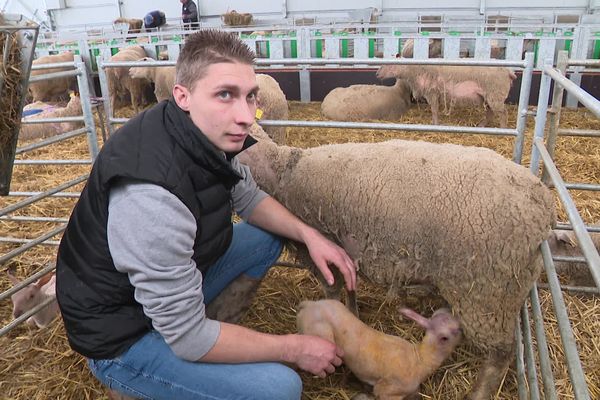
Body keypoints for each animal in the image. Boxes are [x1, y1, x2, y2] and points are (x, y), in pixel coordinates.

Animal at [298, 300, 462, 400]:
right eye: (446, 337)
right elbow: (380, 391)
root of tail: (309, 305)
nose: (462, 329)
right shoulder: (388, 391)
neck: (420, 358)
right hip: (319, 333)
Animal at [380, 64, 516, 127]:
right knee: (490, 113)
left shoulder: (432, 93)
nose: (377, 73)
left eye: (390, 64)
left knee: (504, 113)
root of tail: (508, 72)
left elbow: (434, 110)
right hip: (489, 97)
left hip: (495, 94)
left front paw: (435, 124)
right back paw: (482, 125)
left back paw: (502, 128)